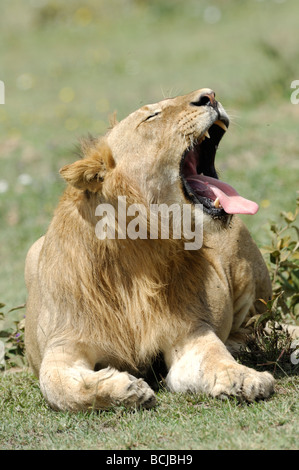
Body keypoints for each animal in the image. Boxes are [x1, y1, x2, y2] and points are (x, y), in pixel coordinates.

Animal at [25, 89, 276, 412]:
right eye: (151, 116)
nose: (210, 95)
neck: (136, 254)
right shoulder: (63, 344)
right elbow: (58, 386)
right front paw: (125, 389)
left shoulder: (189, 332)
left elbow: (215, 357)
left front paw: (246, 378)